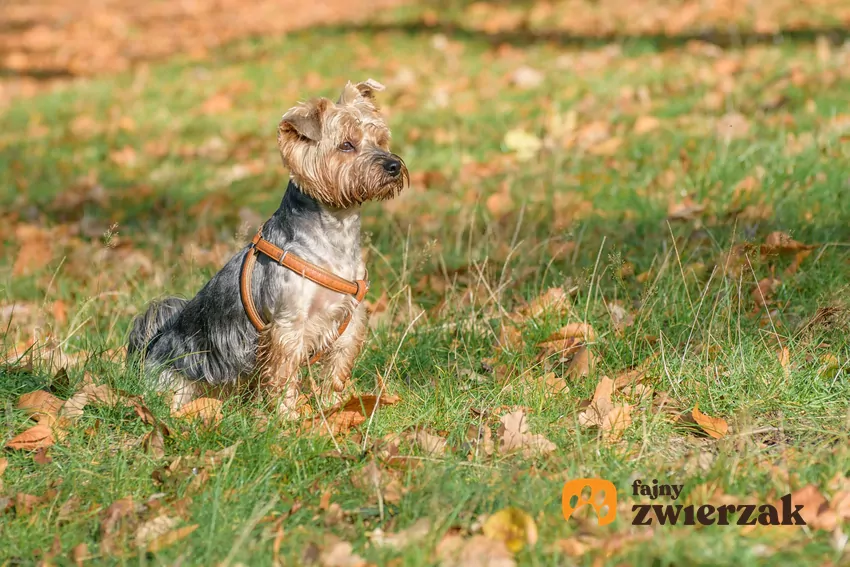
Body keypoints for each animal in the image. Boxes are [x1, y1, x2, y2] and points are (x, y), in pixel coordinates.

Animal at [127, 79, 410, 418]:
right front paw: (288, 418)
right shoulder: (288, 326)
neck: (336, 233)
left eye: (380, 140)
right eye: (346, 145)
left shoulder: (348, 321)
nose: (393, 164)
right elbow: (283, 375)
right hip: (177, 379)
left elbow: (336, 370)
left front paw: (336, 408)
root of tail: (149, 346)